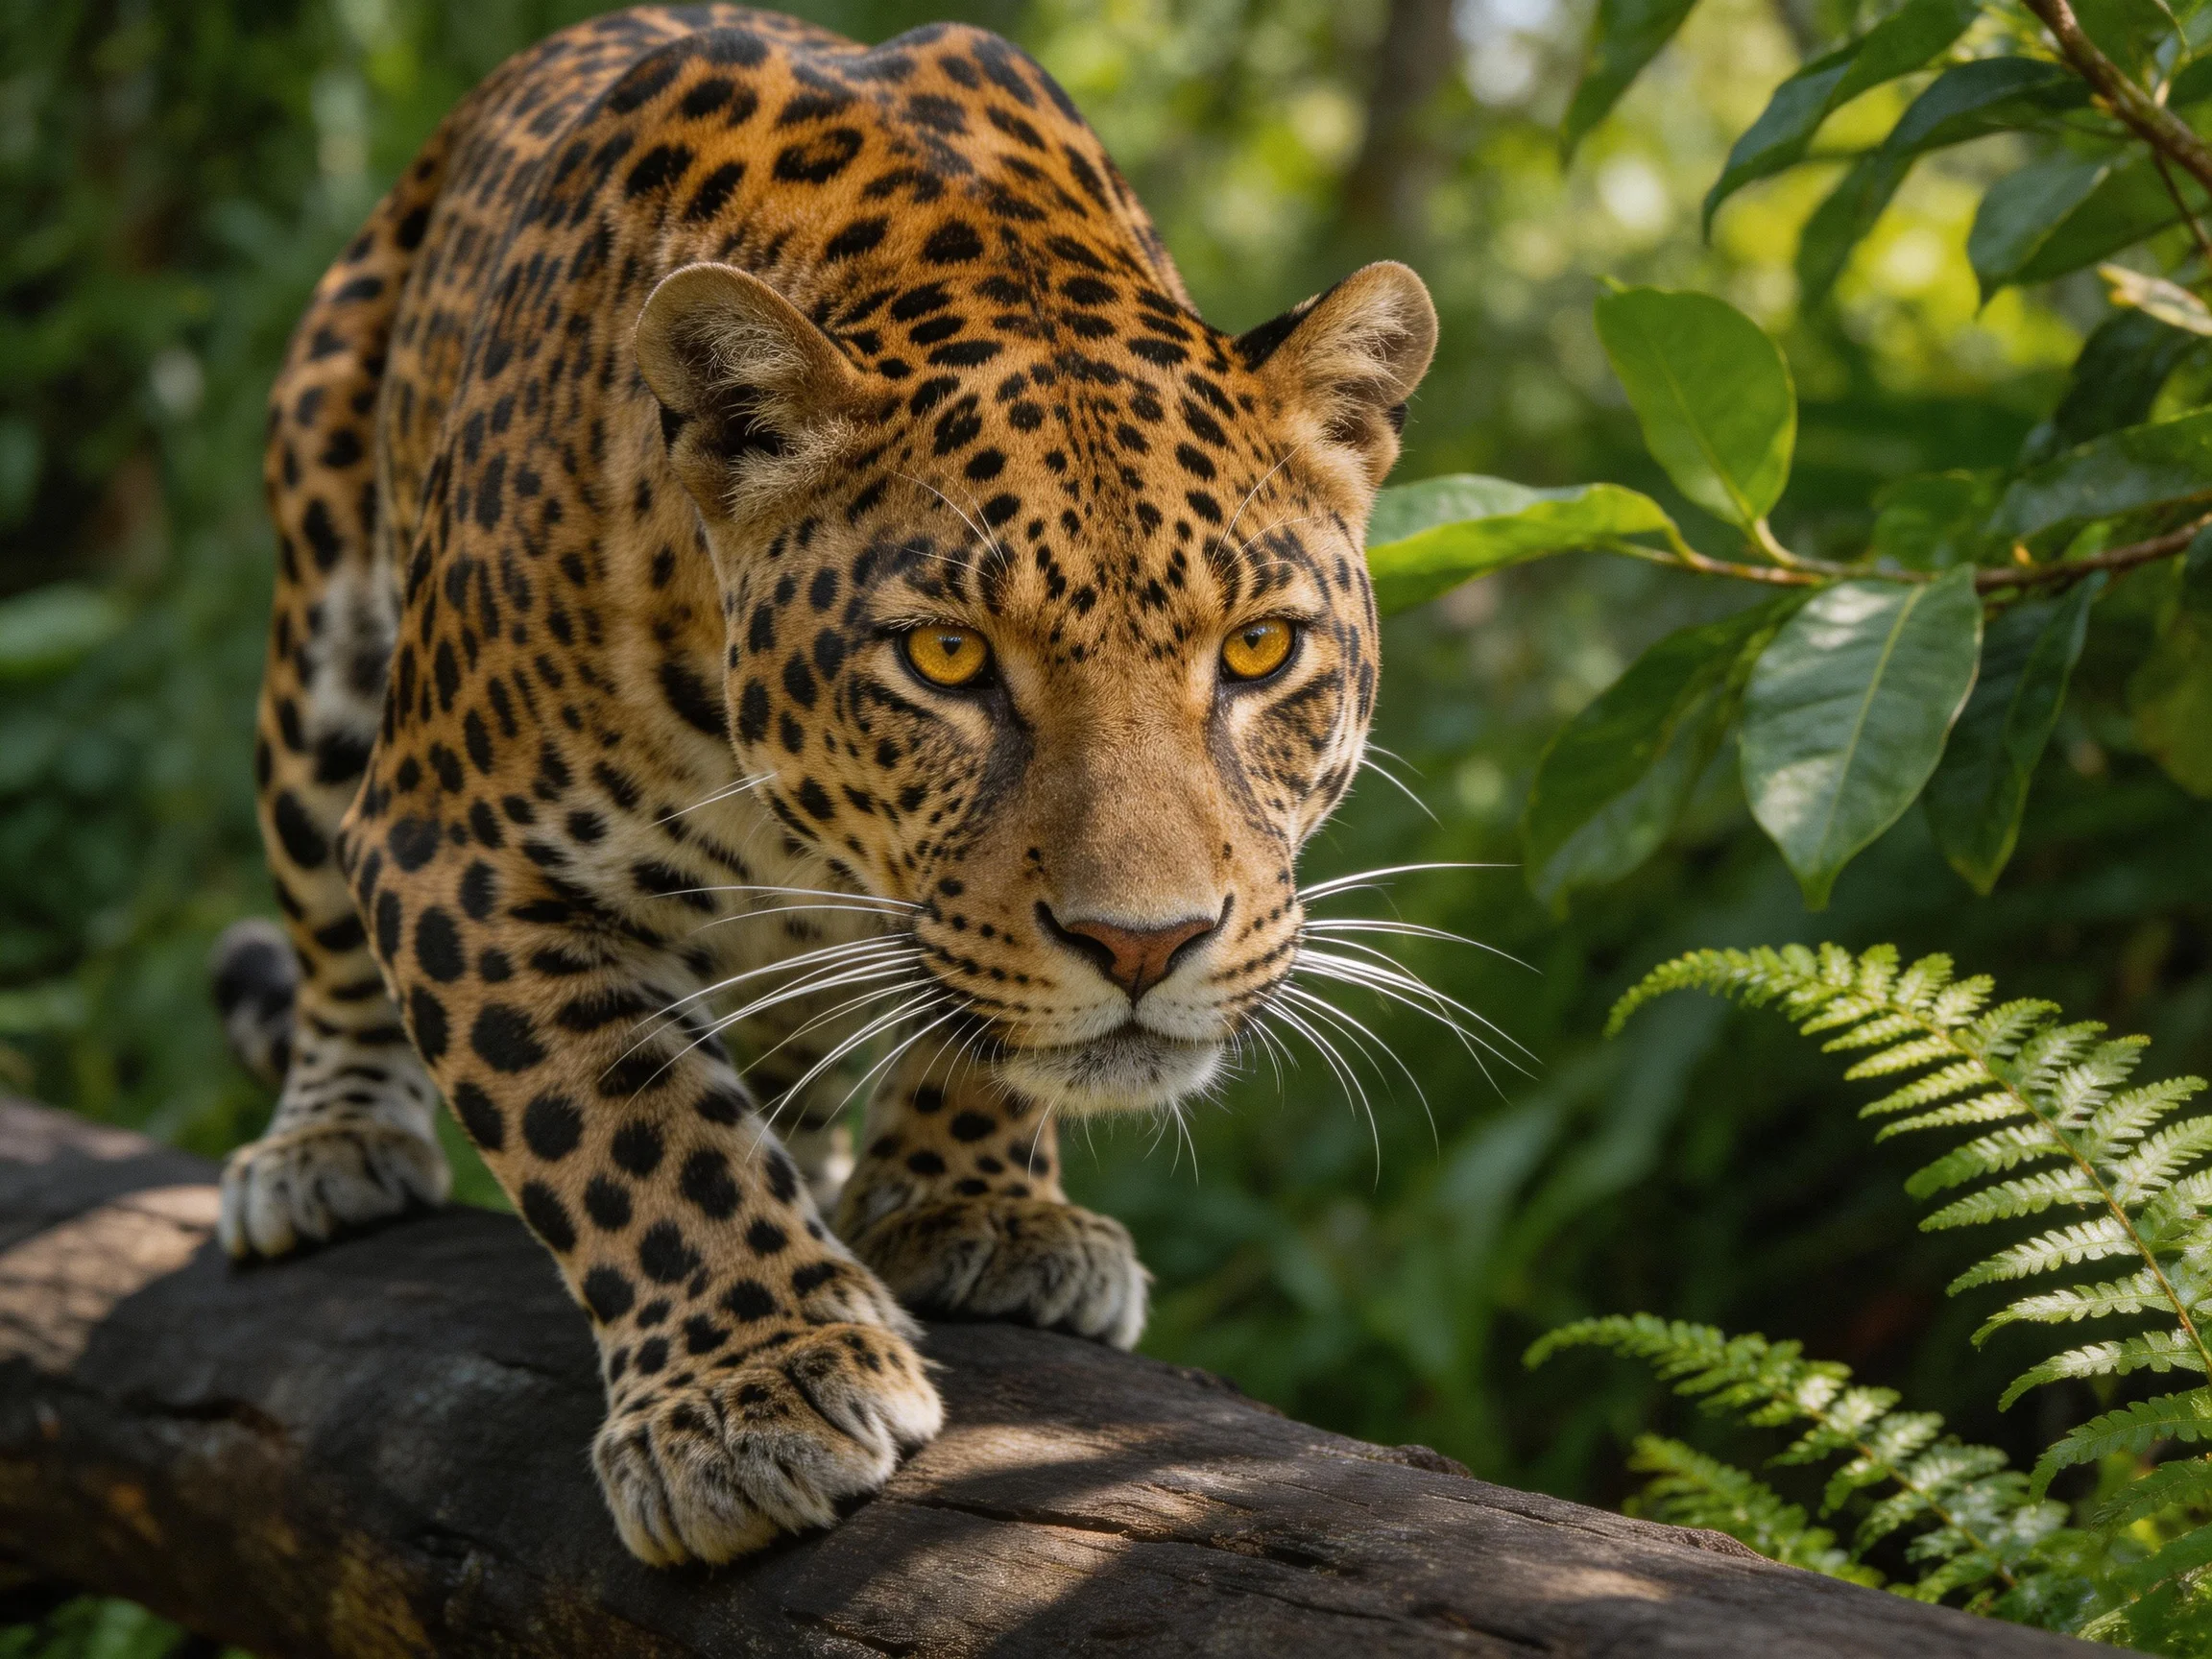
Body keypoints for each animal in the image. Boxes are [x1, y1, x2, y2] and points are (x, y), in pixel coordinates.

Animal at [216, 2, 1436, 1567]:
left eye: (1261, 648)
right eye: (947, 656)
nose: (1144, 946)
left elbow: (962, 1020)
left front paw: (979, 1210)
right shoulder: (454, 844)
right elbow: (622, 1122)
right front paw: (756, 1387)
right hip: (320, 626)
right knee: (325, 938)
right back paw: (330, 1141)